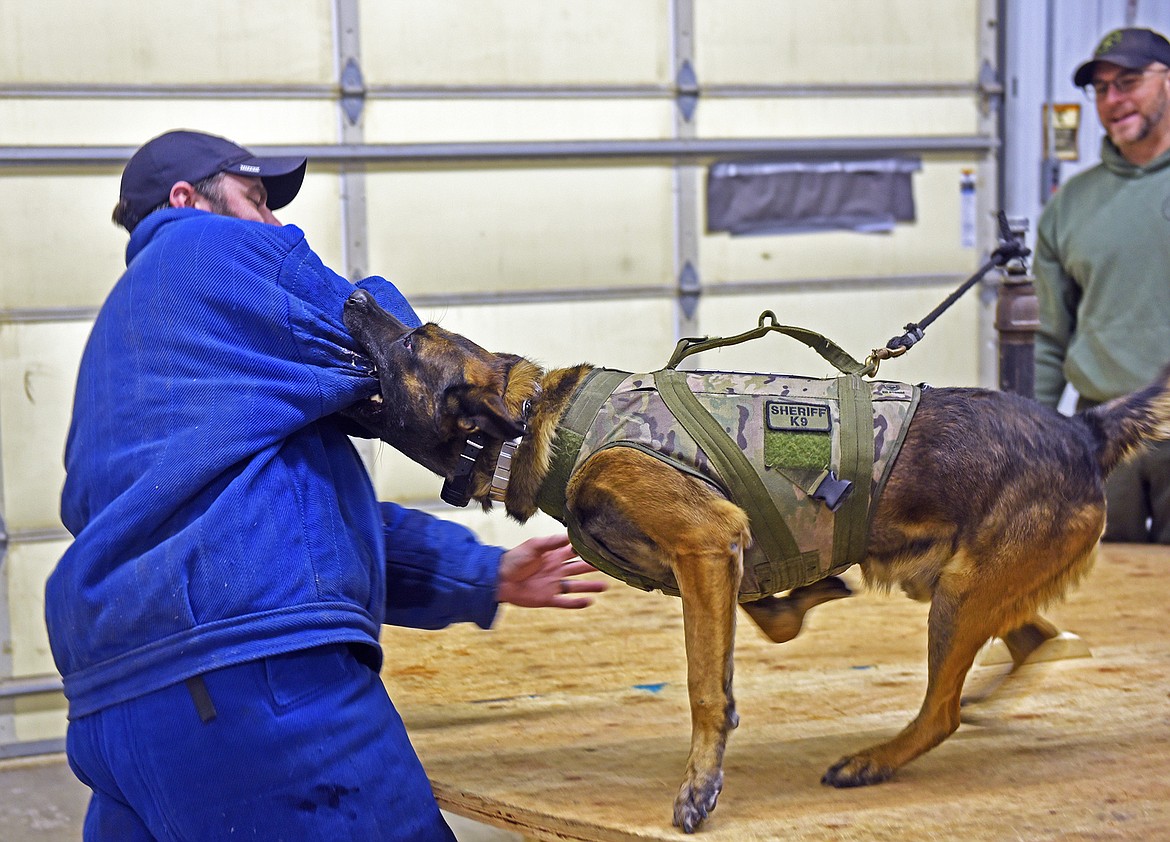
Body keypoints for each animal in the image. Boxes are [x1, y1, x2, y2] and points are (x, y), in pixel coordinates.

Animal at [341, 287, 1170, 827]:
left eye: (413, 340)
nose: (350, 295)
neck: (537, 421)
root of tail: (1084, 429)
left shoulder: (706, 542)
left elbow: (707, 688)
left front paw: (700, 788)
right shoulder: (720, 559)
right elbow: (766, 619)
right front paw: (807, 597)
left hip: (960, 594)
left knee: (943, 711)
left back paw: (874, 759)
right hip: (957, 584)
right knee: (1035, 644)